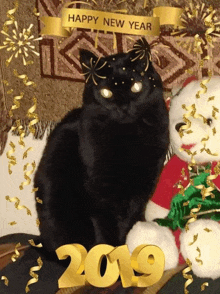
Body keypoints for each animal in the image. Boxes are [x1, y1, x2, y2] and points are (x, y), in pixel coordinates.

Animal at [34, 38, 168, 255]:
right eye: (106, 92)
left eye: (136, 87)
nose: (123, 107)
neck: (126, 137)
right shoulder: (100, 193)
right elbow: (106, 232)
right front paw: (110, 258)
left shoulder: (142, 190)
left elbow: (130, 224)